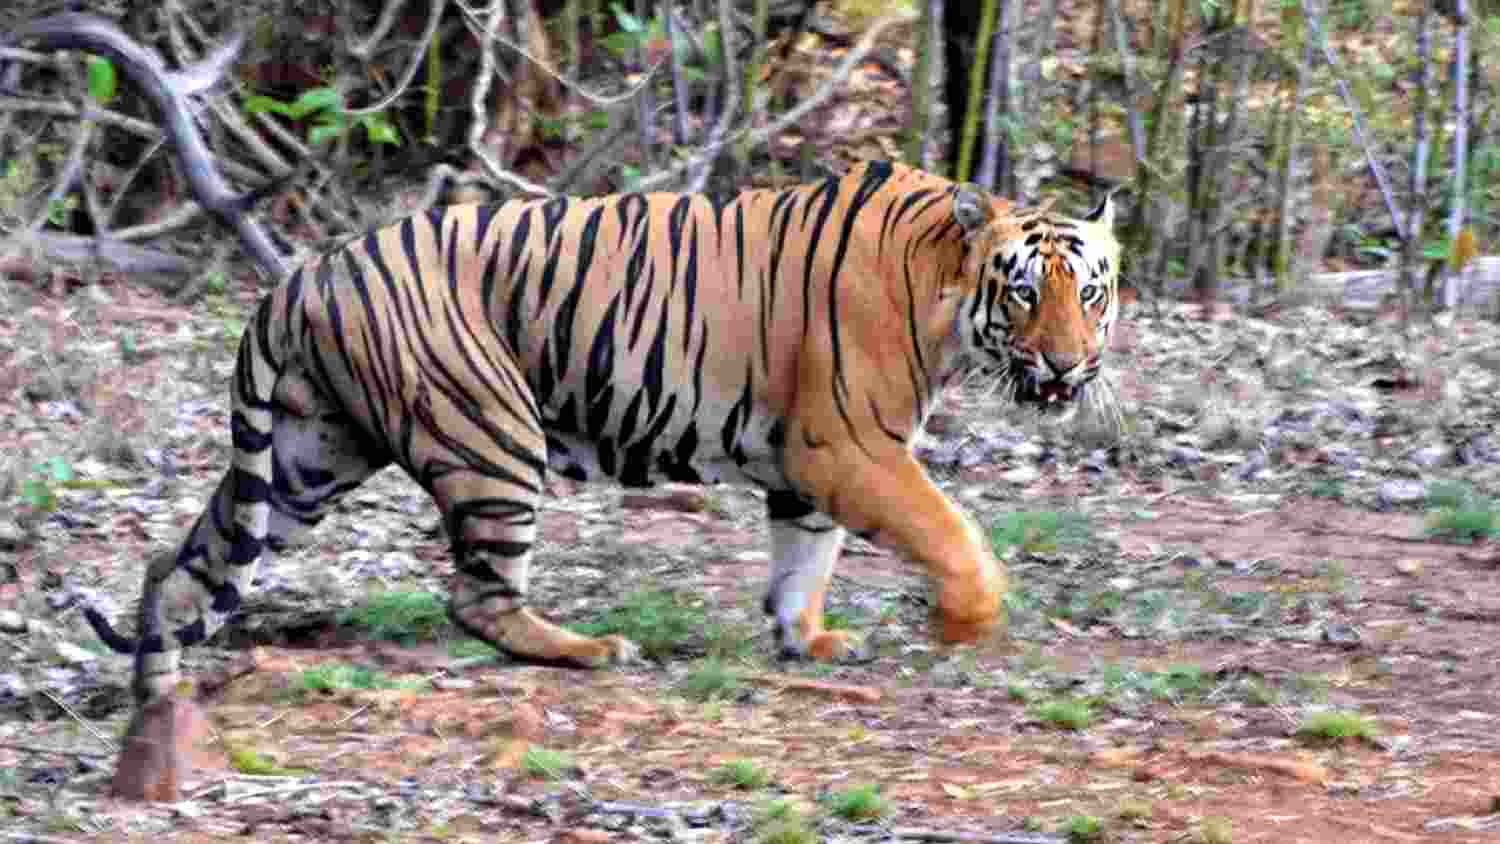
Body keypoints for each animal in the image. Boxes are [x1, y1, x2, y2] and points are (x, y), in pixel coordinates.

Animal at [82, 159, 1120, 794]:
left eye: (1093, 292)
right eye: (1025, 290)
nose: (1070, 366)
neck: (943, 291)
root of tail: (301, 277)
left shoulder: (808, 461)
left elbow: (803, 559)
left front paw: (807, 639)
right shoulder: (851, 444)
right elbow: (950, 531)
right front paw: (963, 624)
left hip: (306, 456)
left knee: (181, 568)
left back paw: (156, 701)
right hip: (492, 431)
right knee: (478, 597)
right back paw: (589, 649)